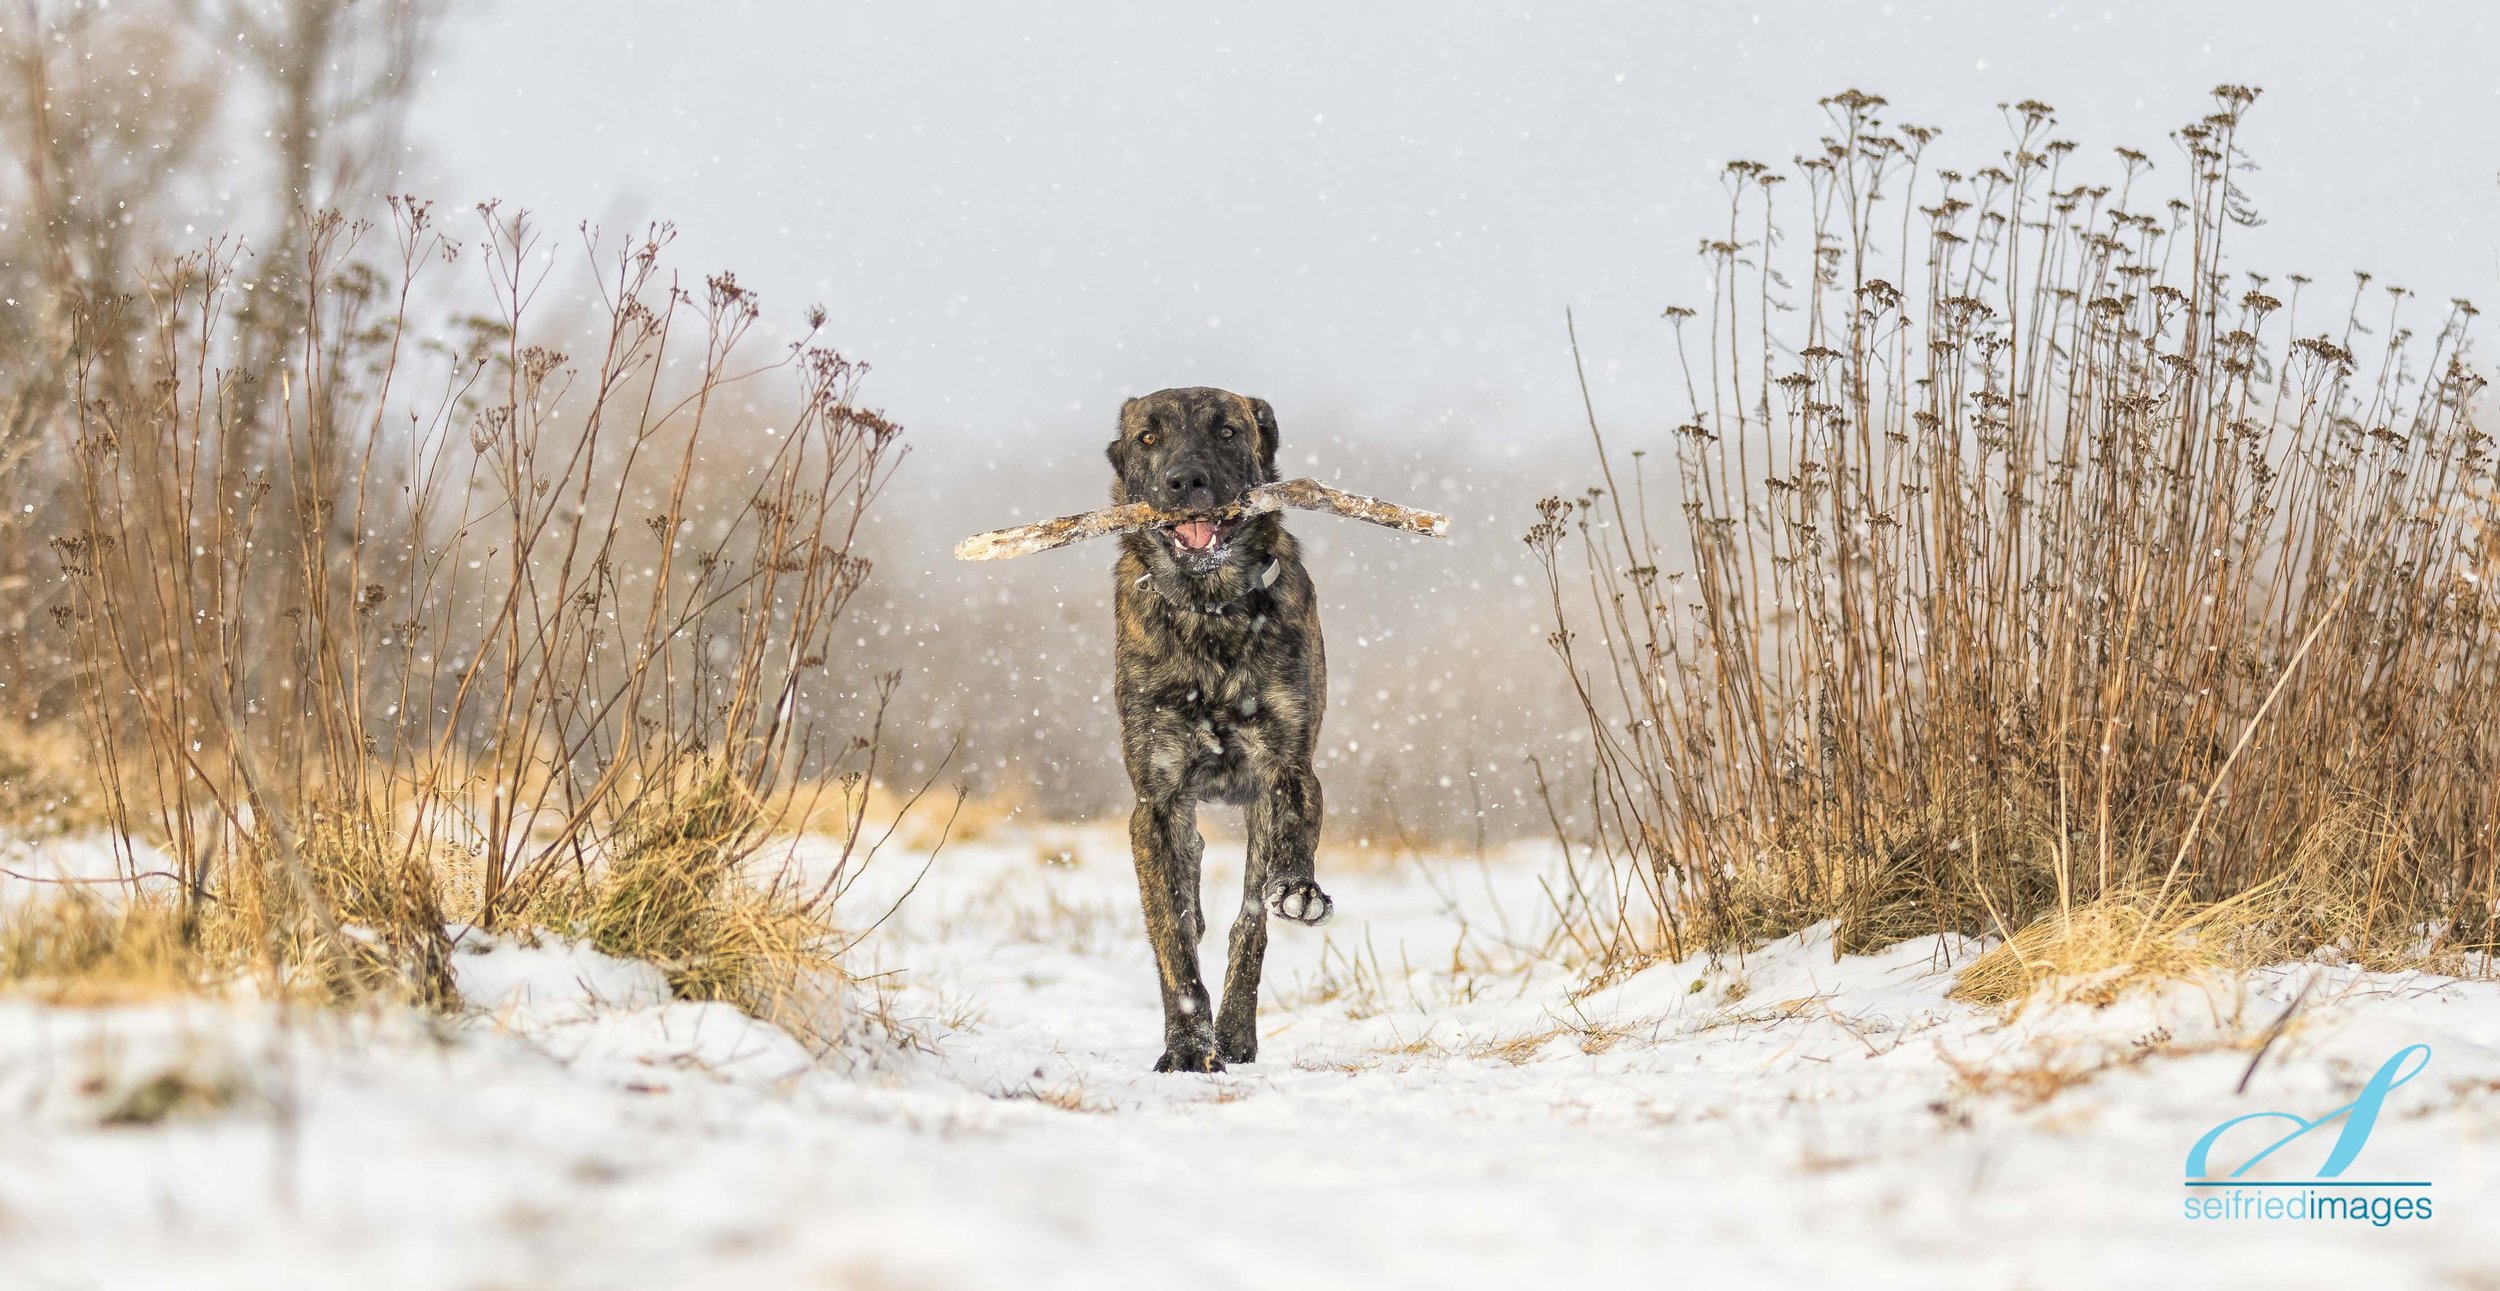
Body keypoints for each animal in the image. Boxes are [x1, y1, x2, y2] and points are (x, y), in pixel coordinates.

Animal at [1110, 387, 1330, 1075]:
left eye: (1228, 432)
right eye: (1149, 437)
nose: (1187, 481)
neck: (1209, 607)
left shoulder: (1287, 770)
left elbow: (1258, 912)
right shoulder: (1156, 804)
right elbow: (1173, 936)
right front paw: (1186, 1046)